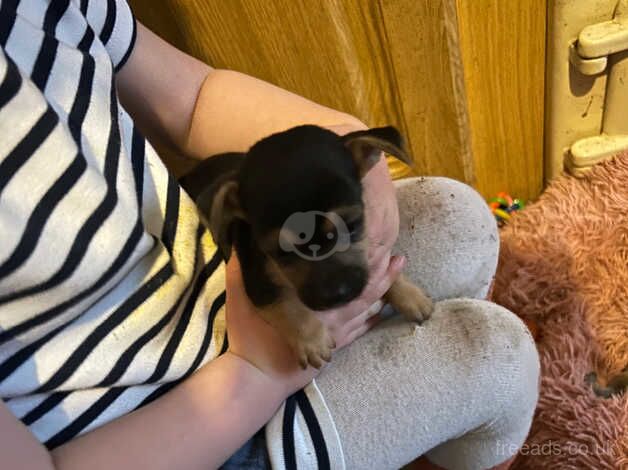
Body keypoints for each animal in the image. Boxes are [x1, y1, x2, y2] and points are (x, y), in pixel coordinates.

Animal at [179, 126, 430, 370]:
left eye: (351, 225)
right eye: (282, 251)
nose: (337, 295)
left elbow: (380, 266)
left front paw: (411, 295)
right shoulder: (258, 279)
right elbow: (286, 305)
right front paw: (311, 342)